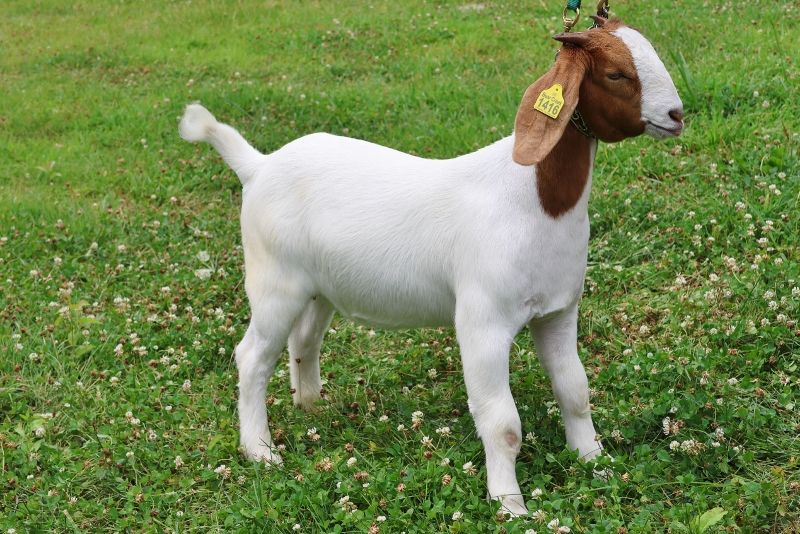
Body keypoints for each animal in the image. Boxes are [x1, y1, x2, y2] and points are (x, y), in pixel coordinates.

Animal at [179, 17, 683, 516]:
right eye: (616, 74)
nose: (677, 114)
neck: (535, 200)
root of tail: (258, 166)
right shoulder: (483, 322)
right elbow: (502, 422)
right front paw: (510, 504)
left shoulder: (558, 312)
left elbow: (575, 391)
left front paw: (595, 463)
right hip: (273, 282)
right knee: (252, 357)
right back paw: (260, 451)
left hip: (319, 286)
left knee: (303, 341)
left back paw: (313, 408)